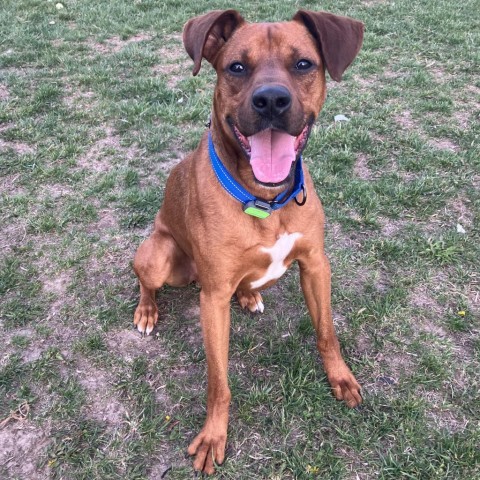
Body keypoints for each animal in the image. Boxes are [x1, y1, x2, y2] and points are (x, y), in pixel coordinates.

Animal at [131, 9, 364, 474]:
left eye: (304, 64)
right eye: (236, 67)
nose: (271, 100)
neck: (264, 201)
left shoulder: (316, 265)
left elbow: (327, 333)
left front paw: (341, 378)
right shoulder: (213, 298)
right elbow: (218, 381)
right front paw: (213, 437)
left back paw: (249, 296)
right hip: (158, 255)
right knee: (146, 280)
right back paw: (147, 311)